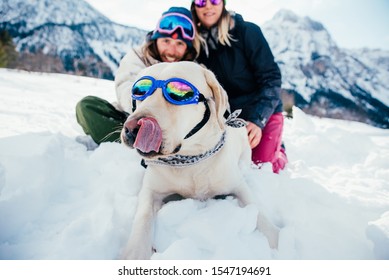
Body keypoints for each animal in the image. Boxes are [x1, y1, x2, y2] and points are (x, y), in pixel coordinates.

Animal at [119, 60, 278, 258]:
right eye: (139, 92)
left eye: (179, 94)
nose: (132, 128)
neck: (191, 160)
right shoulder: (151, 191)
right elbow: (143, 220)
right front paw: (135, 253)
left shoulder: (238, 186)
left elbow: (258, 212)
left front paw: (277, 241)